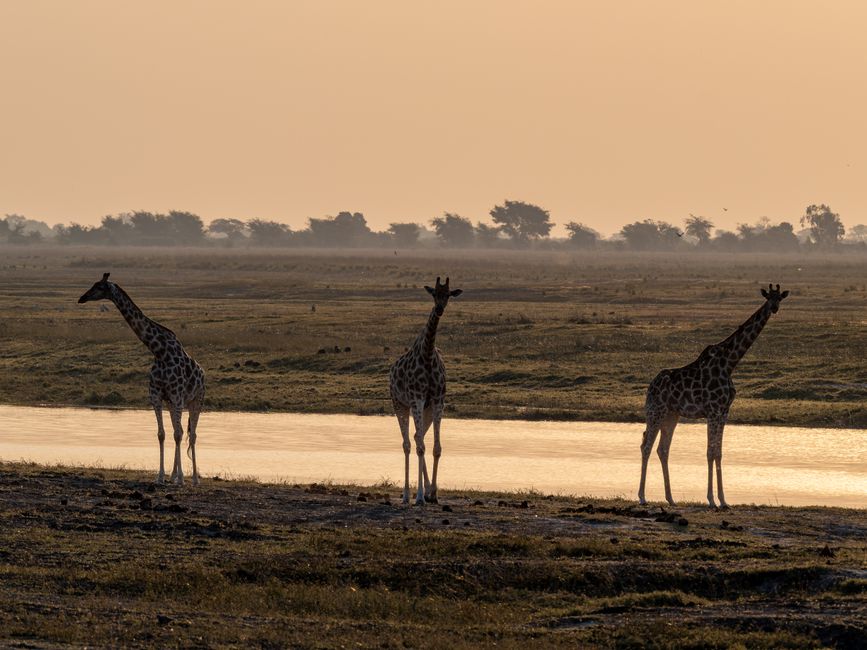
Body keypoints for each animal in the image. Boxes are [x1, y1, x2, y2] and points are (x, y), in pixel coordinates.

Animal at [78, 273, 205, 485]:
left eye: (99, 287)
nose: (82, 298)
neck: (160, 352)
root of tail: (203, 373)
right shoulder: (157, 396)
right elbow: (162, 434)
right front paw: (161, 476)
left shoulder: (177, 396)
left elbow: (179, 434)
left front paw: (181, 478)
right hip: (173, 403)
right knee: (178, 431)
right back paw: (173, 475)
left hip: (196, 400)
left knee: (192, 434)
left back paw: (194, 479)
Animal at [389, 277, 462, 505]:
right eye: (433, 294)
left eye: (448, 295)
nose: (439, 309)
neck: (428, 355)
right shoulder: (417, 399)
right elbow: (420, 447)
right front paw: (420, 497)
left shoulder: (438, 400)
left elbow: (436, 448)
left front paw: (433, 494)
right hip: (400, 404)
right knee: (407, 443)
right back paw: (406, 495)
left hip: (425, 409)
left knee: (415, 437)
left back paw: (426, 491)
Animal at [638, 284, 789, 508]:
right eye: (768, 297)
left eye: (780, 298)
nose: (774, 308)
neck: (729, 363)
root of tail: (650, 386)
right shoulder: (713, 410)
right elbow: (710, 452)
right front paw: (711, 499)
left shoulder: (724, 412)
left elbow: (718, 452)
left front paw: (723, 501)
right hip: (656, 411)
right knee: (646, 445)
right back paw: (642, 497)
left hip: (672, 414)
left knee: (662, 449)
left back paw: (671, 499)